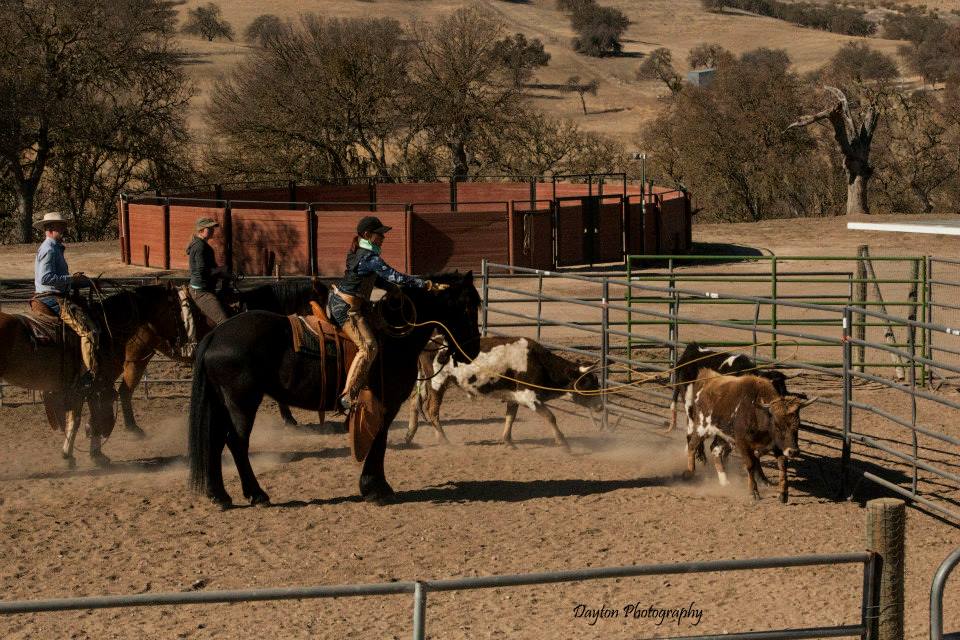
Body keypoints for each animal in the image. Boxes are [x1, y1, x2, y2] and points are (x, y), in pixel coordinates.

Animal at [0, 288, 182, 468]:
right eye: (176, 310)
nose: (180, 340)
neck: (109, 328)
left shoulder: (78, 390)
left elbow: (75, 420)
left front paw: (68, 456)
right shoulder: (99, 385)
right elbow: (95, 418)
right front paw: (96, 456)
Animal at [189, 272, 480, 508]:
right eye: (467, 306)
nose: (473, 350)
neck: (393, 339)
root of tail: (216, 334)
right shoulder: (386, 404)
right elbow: (379, 440)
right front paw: (376, 488)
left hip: (223, 403)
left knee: (215, 441)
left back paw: (219, 495)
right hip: (242, 402)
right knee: (236, 442)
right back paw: (256, 494)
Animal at [404, 336, 600, 450]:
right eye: (588, 383)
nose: (600, 405)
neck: (537, 361)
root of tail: (430, 342)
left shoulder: (514, 396)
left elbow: (510, 417)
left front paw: (508, 441)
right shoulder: (528, 396)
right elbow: (550, 416)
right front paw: (563, 442)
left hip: (426, 380)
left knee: (414, 402)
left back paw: (410, 436)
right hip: (438, 382)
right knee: (431, 410)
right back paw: (444, 441)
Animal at [684, 368, 816, 502]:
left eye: (798, 424)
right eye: (777, 425)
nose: (793, 452)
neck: (758, 413)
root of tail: (707, 379)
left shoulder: (777, 445)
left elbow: (782, 465)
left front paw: (783, 494)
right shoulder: (742, 443)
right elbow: (750, 464)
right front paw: (753, 492)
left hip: (723, 434)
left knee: (715, 449)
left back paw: (724, 481)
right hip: (701, 427)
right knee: (692, 445)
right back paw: (691, 473)